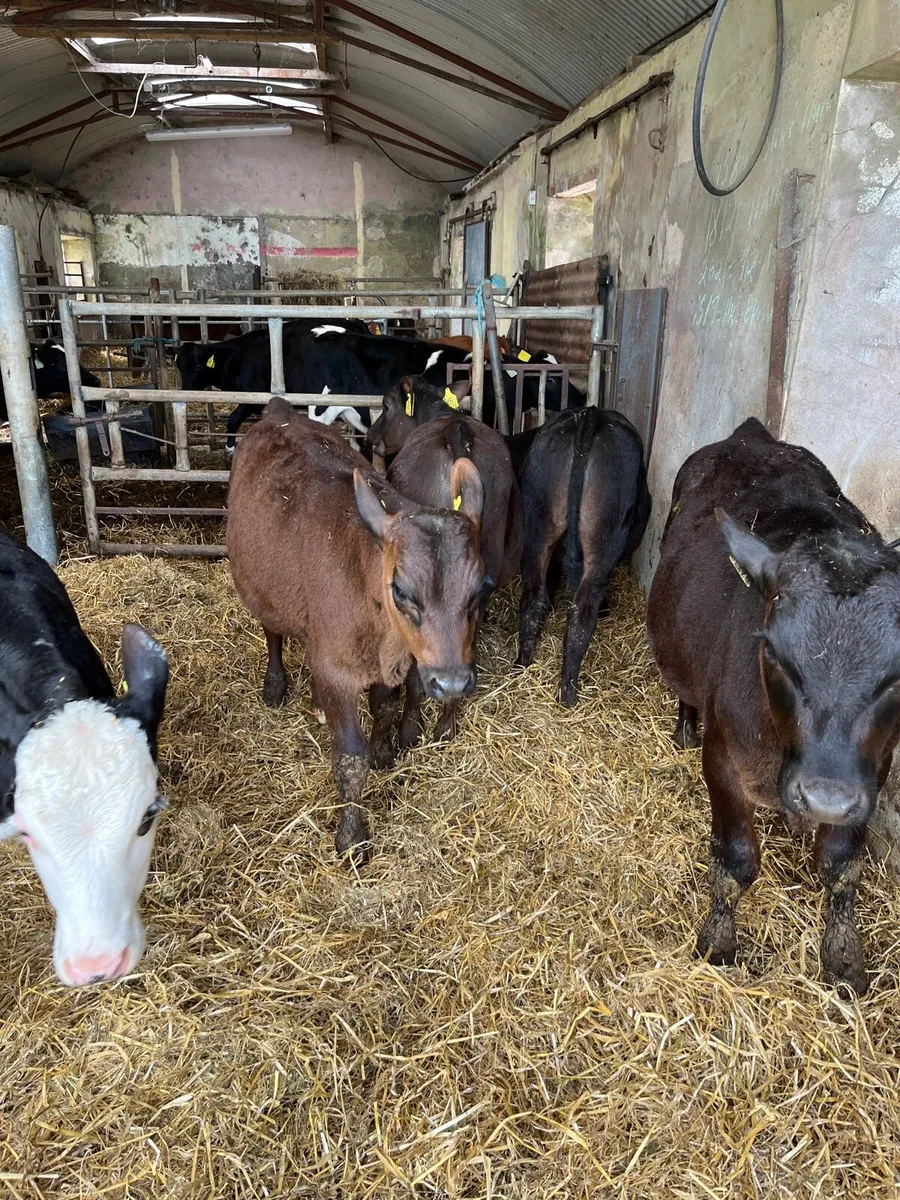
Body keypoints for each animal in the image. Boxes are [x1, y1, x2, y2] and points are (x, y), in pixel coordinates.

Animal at [226, 396, 488, 862]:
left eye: (479, 589)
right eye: (400, 589)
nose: (453, 683)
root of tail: (280, 409)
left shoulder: (390, 666)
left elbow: (384, 709)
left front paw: (384, 751)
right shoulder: (336, 670)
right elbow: (350, 758)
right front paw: (351, 837)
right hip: (261, 587)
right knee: (273, 632)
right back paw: (275, 685)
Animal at [516, 407, 650, 705]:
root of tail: (591, 414)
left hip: (536, 526)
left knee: (533, 597)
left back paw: (522, 664)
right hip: (604, 538)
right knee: (582, 611)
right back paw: (568, 692)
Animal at [646, 417, 900, 995]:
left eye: (896, 672)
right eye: (774, 653)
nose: (825, 797)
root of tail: (752, 434)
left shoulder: (871, 773)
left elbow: (841, 866)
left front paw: (843, 956)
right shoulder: (723, 759)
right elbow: (736, 860)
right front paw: (718, 943)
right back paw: (684, 727)